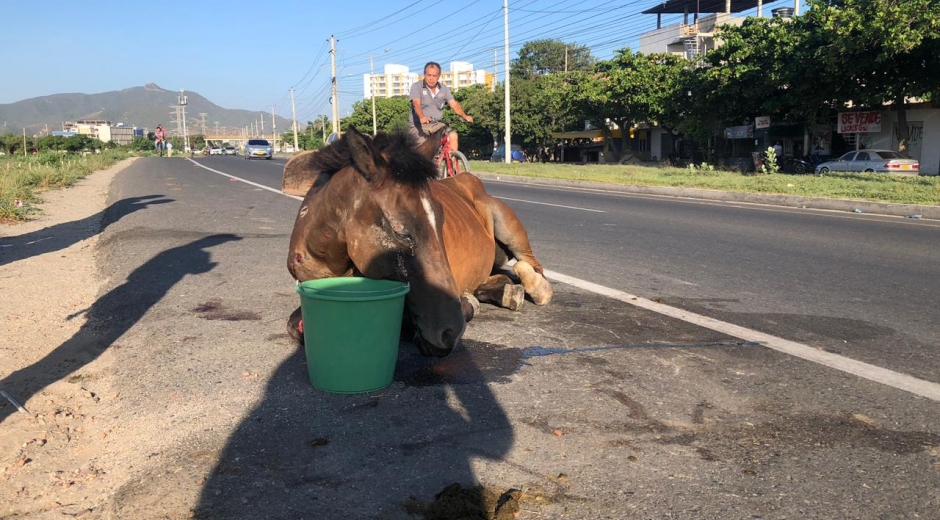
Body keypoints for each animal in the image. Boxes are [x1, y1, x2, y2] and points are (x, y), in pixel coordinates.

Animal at [282, 127, 556, 358]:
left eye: (441, 222)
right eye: (401, 233)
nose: (450, 331)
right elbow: (295, 326)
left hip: (508, 227)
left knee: (531, 266)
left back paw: (535, 286)